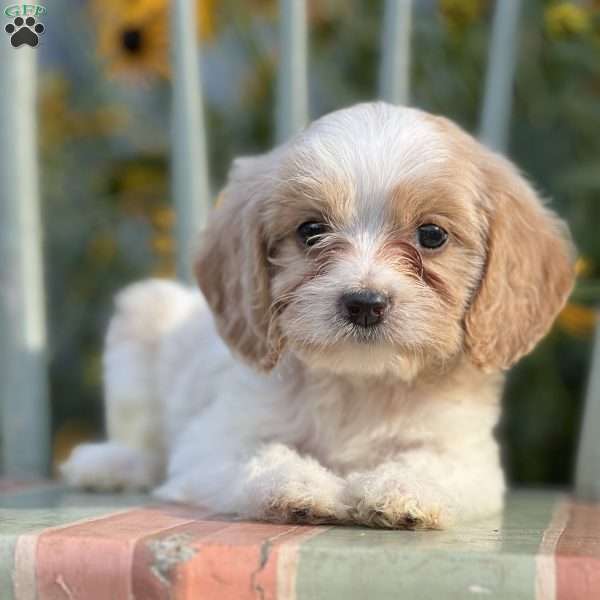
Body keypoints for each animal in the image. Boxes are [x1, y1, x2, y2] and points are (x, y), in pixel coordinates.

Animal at [62, 103, 576, 528]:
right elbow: (264, 454)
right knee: (144, 443)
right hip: (143, 312)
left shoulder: (468, 457)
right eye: (311, 231)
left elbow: (432, 464)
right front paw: (301, 486)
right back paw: (108, 465)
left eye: (431, 235)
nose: (365, 303)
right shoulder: (213, 442)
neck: (360, 382)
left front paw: (400, 489)